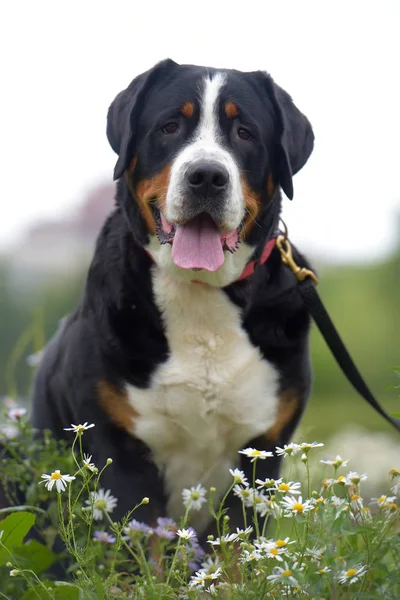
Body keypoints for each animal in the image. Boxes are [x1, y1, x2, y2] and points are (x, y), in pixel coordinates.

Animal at [30, 58, 316, 536]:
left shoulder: (263, 452)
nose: (207, 176)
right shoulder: (118, 450)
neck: (200, 294)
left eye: (245, 132)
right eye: (169, 126)